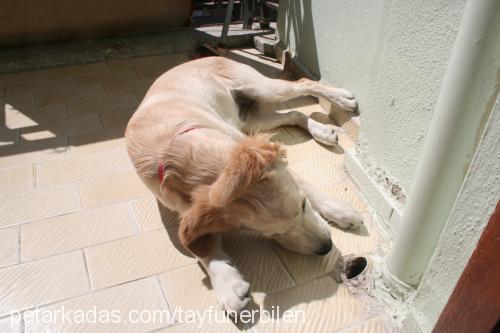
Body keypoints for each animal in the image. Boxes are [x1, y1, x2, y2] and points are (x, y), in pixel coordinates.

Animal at [124, 55, 360, 312]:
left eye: (303, 205)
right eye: (274, 233)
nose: (326, 247)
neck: (177, 153)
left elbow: (306, 184)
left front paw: (340, 211)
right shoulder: (182, 205)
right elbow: (200, 244)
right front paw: (225, 281)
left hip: (263, 89)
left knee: (304, 83)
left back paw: (341, 98)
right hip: (253, 121)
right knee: (294, 114)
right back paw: (321, 130)